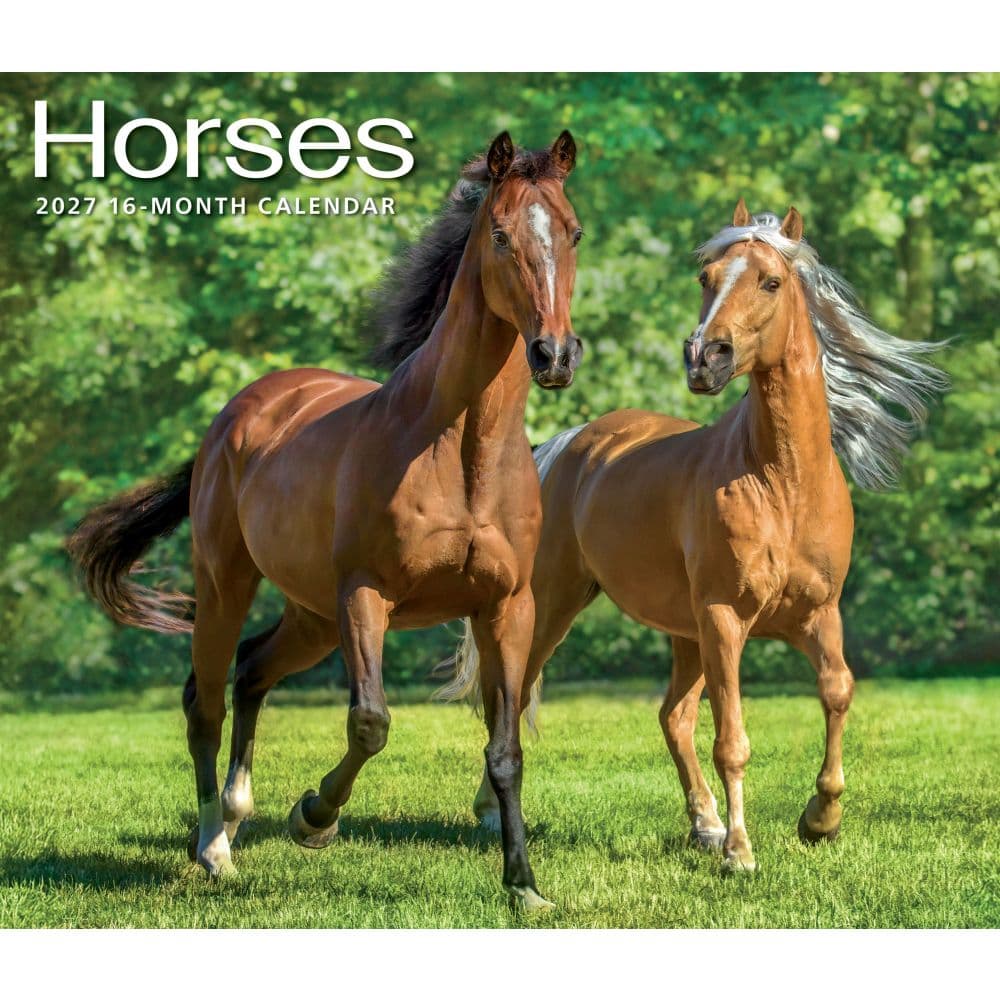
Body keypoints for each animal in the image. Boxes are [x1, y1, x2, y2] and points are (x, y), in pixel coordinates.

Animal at [68, 130, 585, 910]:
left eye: (573, 232)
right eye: (500, 235)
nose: (554, 354)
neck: (458, 449)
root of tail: (239, 413)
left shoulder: (506, 607)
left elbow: (505, 751)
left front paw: (523, 885)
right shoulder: (366, 596)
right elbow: (369, 722)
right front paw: (314, 816)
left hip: (309, 614)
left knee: (252, 672)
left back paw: (236, 816)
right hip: (228, 586)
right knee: (206, 700)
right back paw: (213, 846)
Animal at [443, 200, 946, 874]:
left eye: (771, 281)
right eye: (706, 278)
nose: (706, 357)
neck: (781, 482)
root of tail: (565, 448)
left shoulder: (819, 615)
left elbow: (837, 692)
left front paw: (820, 819)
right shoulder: (725, 619)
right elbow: (732, 740)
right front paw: (740, 852)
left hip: (684, 634)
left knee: (672, 716)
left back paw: (703, 824)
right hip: (557, 608)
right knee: (514, 699)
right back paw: (495, 814)